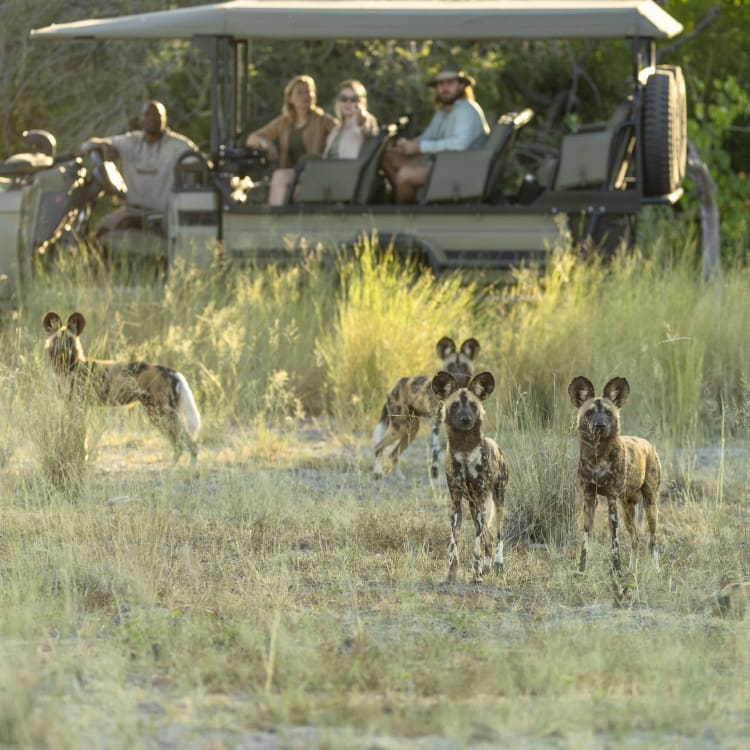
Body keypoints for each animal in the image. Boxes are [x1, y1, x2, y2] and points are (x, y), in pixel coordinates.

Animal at [43, 312, 203, 464]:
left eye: (69, 341)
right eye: (57, 340)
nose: (63, 352)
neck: (68, 368)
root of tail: (171, 371)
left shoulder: (79, 408)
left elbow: (81, 439)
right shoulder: (72, 407)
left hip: (161, 415)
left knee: (189, 446)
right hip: (161, 415)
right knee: (181, 446)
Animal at [372, 336, 482, 478]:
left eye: (464, 366)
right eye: (451, 366)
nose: (458, 377)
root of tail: (394, 387)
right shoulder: (436, 423)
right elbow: (436, 449)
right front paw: (435, 473)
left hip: (411, 430)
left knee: (393, 454)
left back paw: (399, 476)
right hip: (399, 427)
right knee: (378, 447)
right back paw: (377, 473)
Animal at [432, 374, 508, 584]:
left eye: (473, 405)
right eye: (455, 405)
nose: (466, 419)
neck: (465, 451)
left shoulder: (482, 500)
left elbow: (476, 546)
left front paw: (477, 576)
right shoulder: (456, 504)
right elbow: (453, 544)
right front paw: (451, 574)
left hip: (496, 502)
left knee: (498, 534)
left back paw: (497, 565)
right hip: (474, 508)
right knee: (488, 539)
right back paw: (487, 567)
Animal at [572, 376, 660, 588]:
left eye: (608, 413)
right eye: (590, 412)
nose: (600, 425)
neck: (597, 456)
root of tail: (648, 444)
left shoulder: (611, 499)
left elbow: (614, 542)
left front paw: (617, 572)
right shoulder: (589, 498)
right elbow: (585, 539)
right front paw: (580, 571)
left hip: (650, 504)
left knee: (652, 539)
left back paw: (656, 571)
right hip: (627, 507)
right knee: (635, 539)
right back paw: (631, 570)